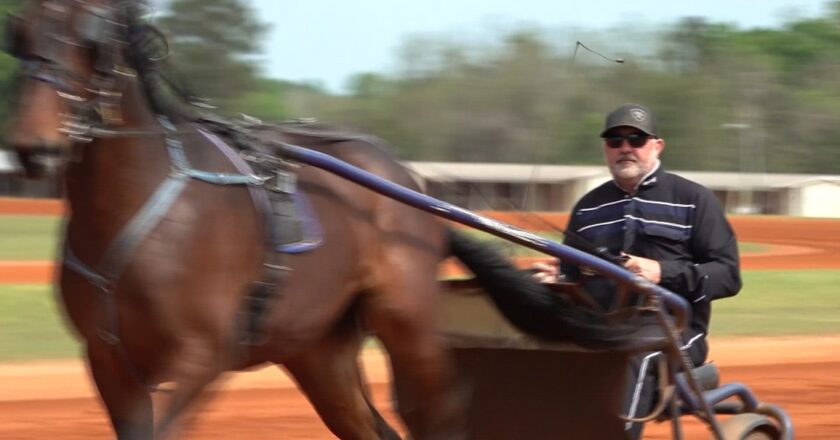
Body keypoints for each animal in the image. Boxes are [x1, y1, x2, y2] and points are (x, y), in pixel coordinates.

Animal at [5, 1, 475, 438]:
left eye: (90, 34)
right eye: (20, 33)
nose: (34, 148)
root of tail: (408, 179)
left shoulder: (202, 354)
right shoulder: (107, 360)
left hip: (409, 326)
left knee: (437, 414)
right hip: (318, 350)